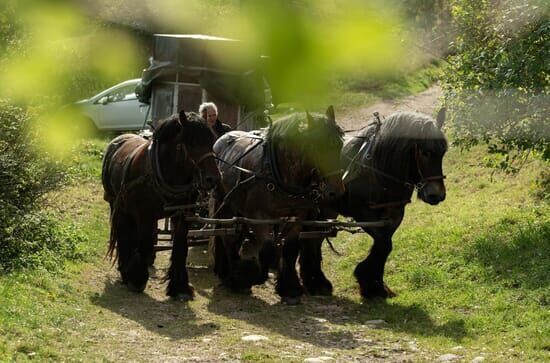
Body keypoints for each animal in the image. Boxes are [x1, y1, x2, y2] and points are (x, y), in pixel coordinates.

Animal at [102, 111, 219, 302]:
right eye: (192, 143)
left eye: (212, 142)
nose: (213, 179)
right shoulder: (144, 214)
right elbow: (144, 243)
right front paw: (136, 278)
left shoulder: (183, 215)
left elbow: (180, 247)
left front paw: (180, 287)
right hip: (116, 204)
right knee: (123, 232)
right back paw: (125, 269)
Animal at [215, 107, 348, 304]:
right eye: (317, 147)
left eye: (339, 144)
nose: (336, 191)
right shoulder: (260, 216)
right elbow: (267, 247)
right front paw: (252, 276)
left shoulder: (296, 217)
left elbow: (290, 249)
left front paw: (290, 288)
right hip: (225, 204)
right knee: (228, 237)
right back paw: (232, 277)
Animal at [300, 109, 450, 300]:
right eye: (425, 153)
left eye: (443, 152)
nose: (436, 194)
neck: (376, 170)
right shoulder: (363, 214)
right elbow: (385, 243)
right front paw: (369, 281)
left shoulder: (394, 214)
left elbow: (384, 245)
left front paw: (374, 284)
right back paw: (314, 282)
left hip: (326, 210)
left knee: (314, 238)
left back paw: (316, 281)